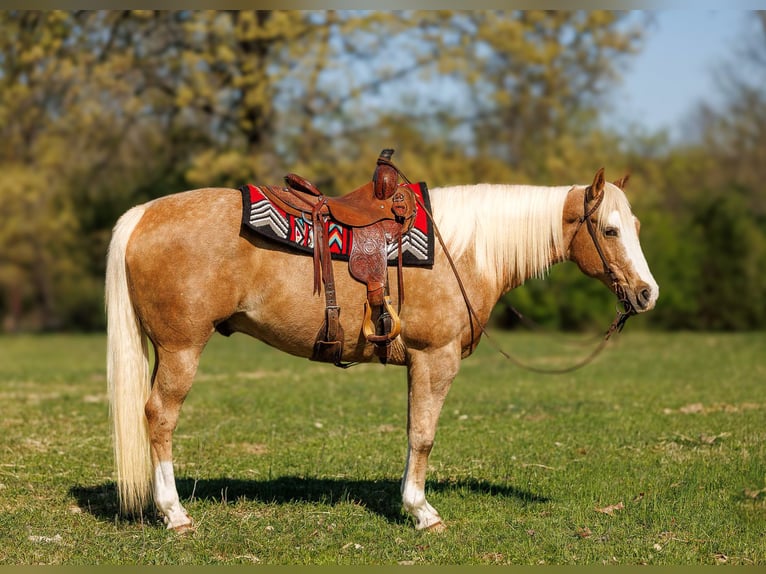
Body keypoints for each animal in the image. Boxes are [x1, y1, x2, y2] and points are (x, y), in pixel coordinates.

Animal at [105, 167, 658, 532]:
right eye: (610, 230)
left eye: (635, 227)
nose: (647, 294)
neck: (463, 250)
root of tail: (143, 214)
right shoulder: (435, 358)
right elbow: (424, 435)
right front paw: (422, 512)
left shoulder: (418, 362)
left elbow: (413, 432)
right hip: (182, 349)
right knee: (160, 417)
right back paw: (175, 513)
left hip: (165, 350)